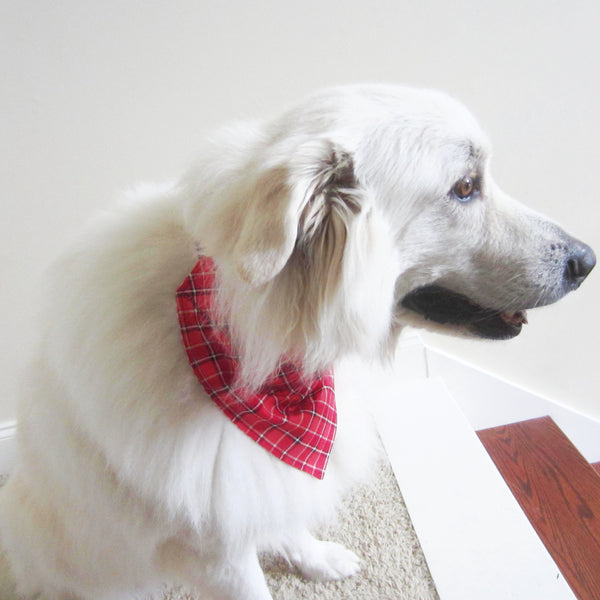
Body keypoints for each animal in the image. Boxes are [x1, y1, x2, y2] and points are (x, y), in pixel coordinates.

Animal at [0, 85, 596, 600]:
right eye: (466, 187)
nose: (585, 261)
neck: (256, 344)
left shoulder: (256, 483)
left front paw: (312, 556)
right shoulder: (217, 549)